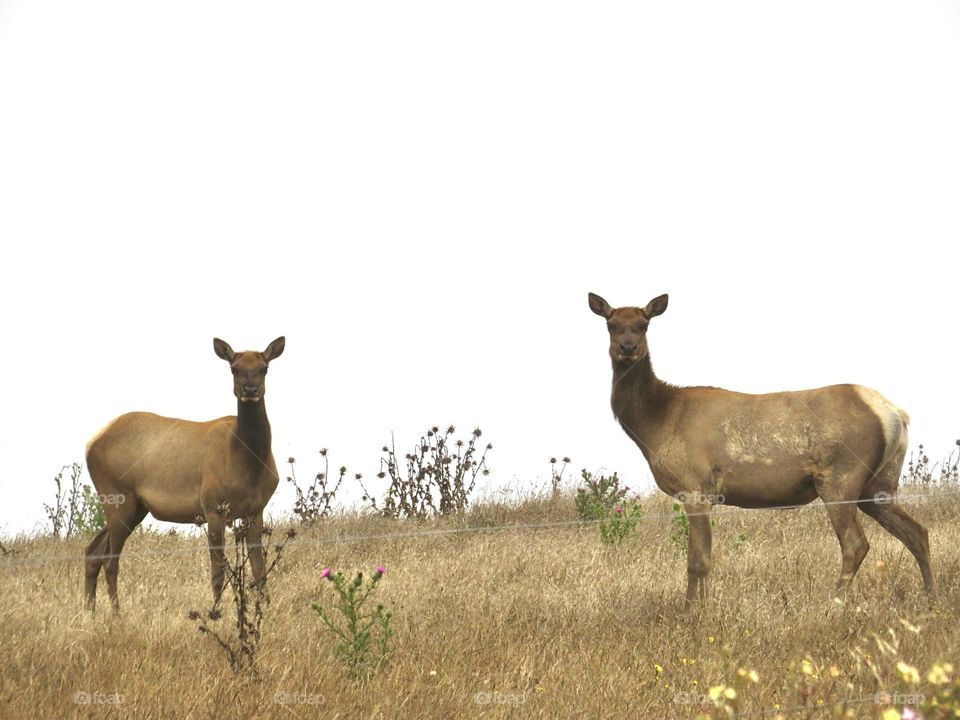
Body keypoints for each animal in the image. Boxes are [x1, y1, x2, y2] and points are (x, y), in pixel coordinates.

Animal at [84, 334, 284, 612]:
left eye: (264, 368)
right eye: (233, 368)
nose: (250, 390)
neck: (249, 466)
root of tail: (90, 444)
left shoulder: (255, 510)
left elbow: (259, 568)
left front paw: (265, 608)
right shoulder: (213, 506)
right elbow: (218, 570)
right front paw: (216, 611)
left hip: (136, 507)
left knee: (93, 551)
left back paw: (90, 612)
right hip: (117, 495)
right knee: (110, 560)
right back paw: (115, 613)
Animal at [588, 290, 932, 604]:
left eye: (644, 324)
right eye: (611, 324)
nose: (628, 348)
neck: (656, 423)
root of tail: (895, 414)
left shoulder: (695, 486)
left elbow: (697, 561)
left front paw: (693, 612)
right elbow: (702, 559)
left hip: (841, 478)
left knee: (856, 545)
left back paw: (832, 604)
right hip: (879, 483)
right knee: (918, 532)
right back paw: (932, 596)